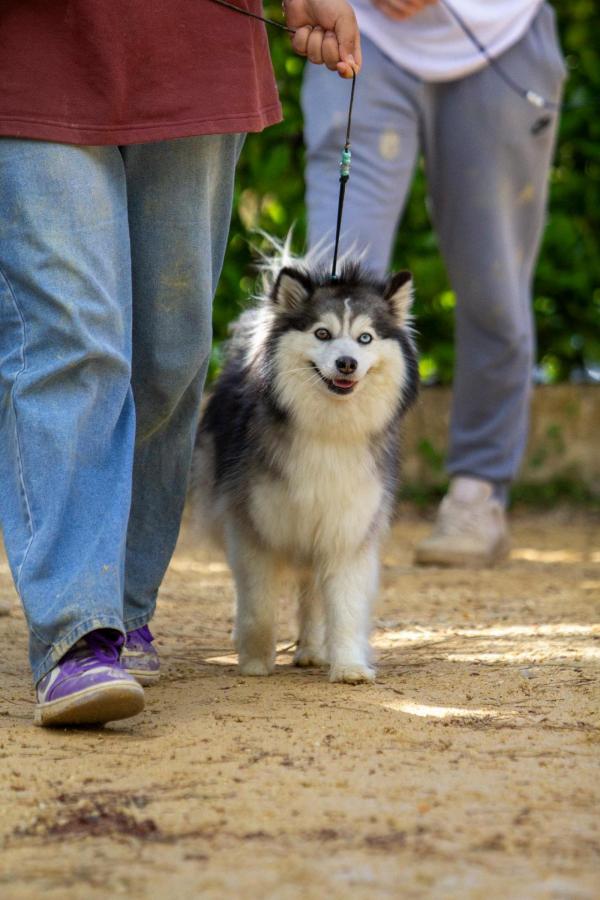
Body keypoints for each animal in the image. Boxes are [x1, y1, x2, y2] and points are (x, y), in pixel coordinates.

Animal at [190, 246, 420, 684]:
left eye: (365, 338)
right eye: (322, 334)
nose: (347, 363)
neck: (327, 430)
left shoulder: (347, 529)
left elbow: (345, 606)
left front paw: (349, 666)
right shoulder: (256, 526)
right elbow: (258, 604)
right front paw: (255, 661)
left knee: (312, 594)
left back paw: (312, 650)